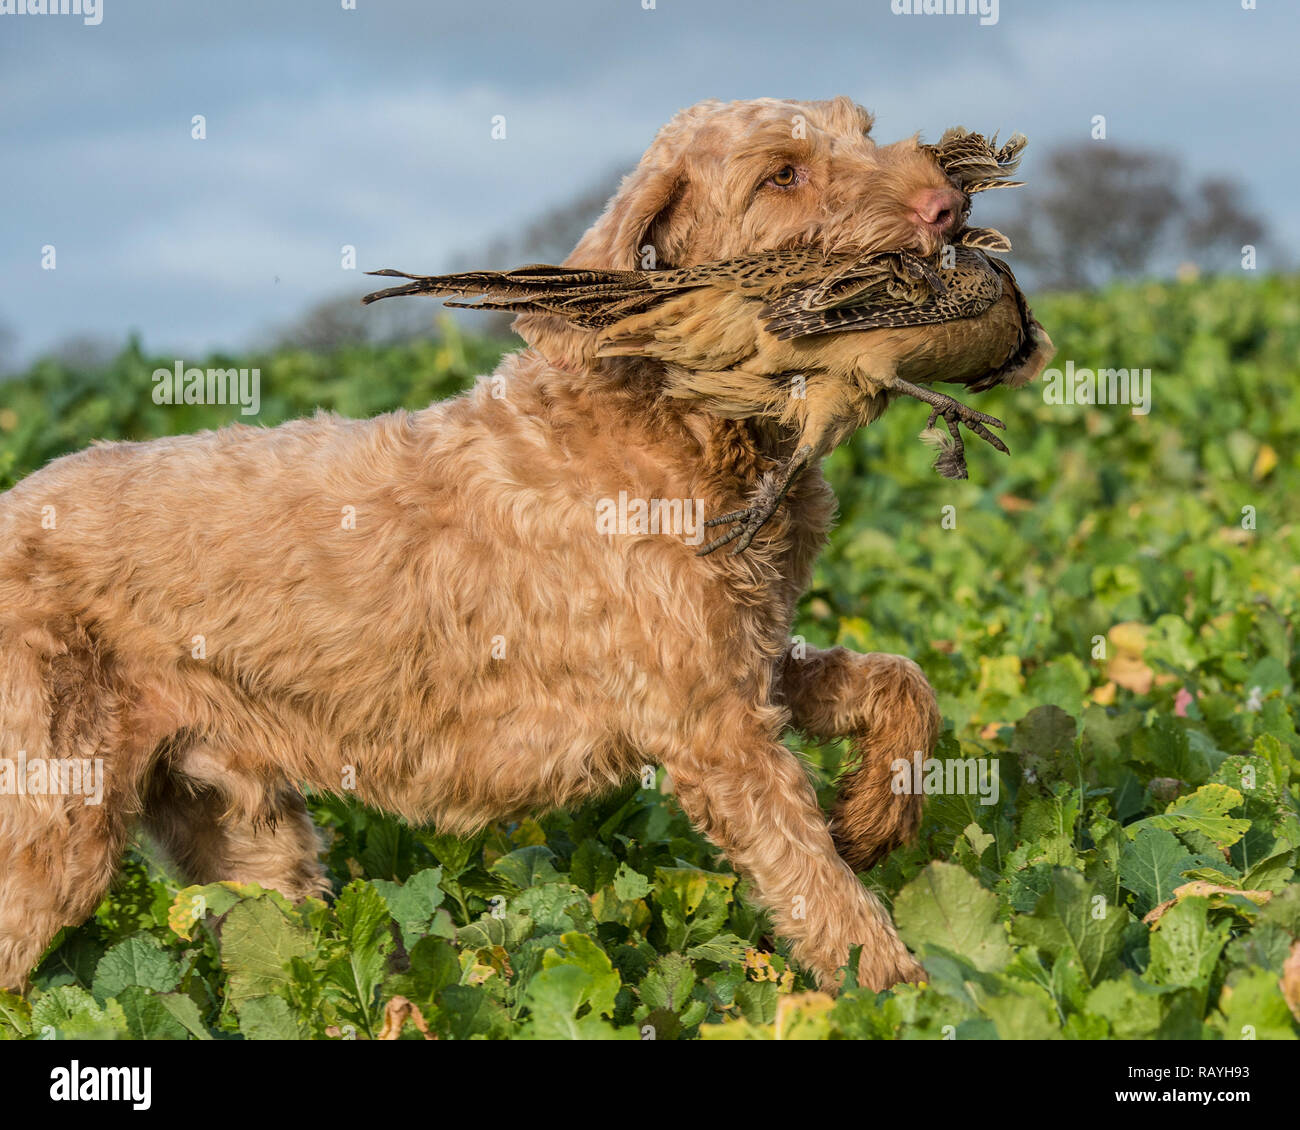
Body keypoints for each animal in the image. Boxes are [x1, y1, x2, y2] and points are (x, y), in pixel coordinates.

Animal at [2, 99, 982, 998]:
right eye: (782, 173)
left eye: (863, 130)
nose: (948, 206)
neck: (693, 421)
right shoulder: (714, 729)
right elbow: (822, 888)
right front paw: (910, 995)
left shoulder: (749, 663)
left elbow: (903, 681)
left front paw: (876, 817)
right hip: (54, 817)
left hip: (241, 832)